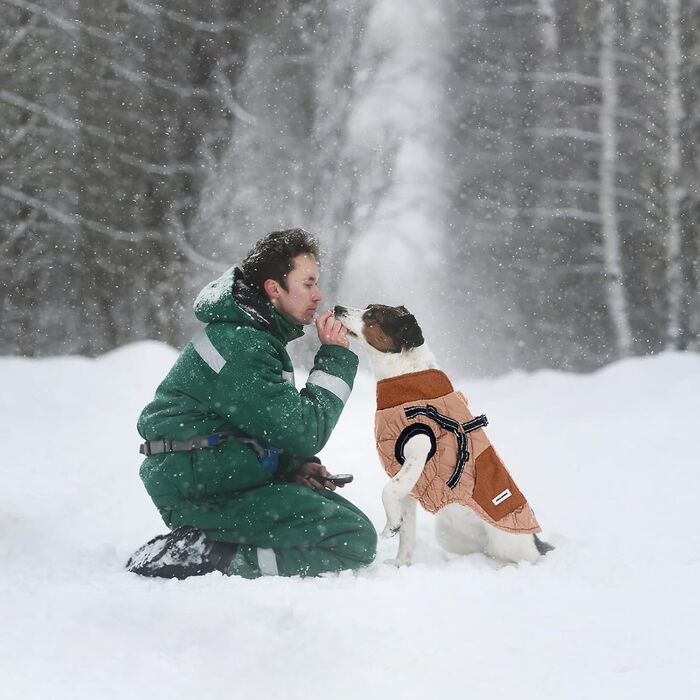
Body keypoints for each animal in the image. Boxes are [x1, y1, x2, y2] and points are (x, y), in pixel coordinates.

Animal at [336, 304, 556, 568]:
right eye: (368, 307)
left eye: (372, 315)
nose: (337, 308)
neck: (404, 376)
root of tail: (536, 541)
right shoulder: (409, 483)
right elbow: (407, 532)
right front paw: (400, 563)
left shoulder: (417, 451)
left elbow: (387, 491)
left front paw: (390, 526)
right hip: (450, 536)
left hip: (506, 542)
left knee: (520, 560)